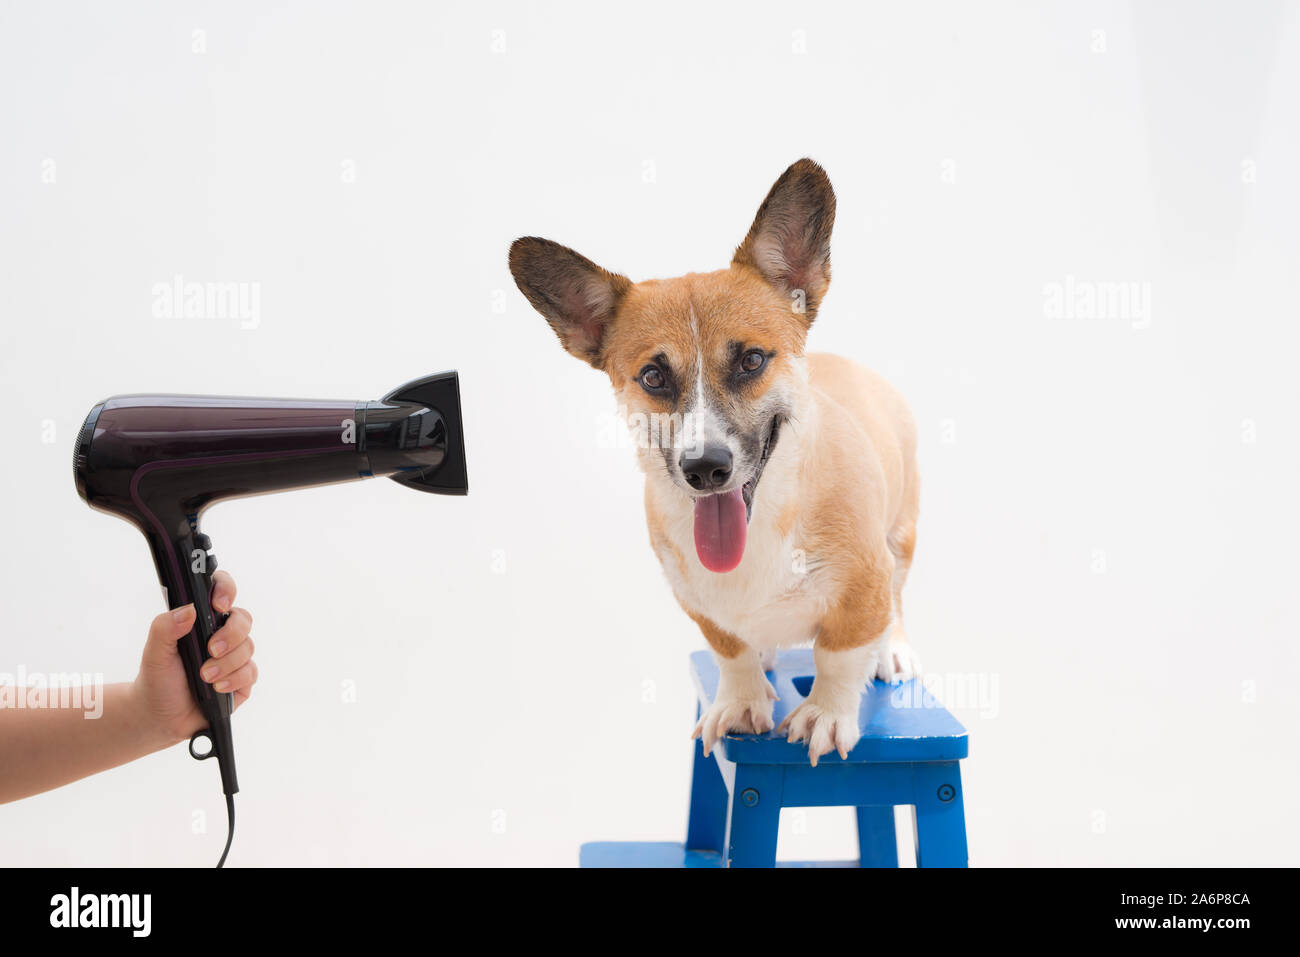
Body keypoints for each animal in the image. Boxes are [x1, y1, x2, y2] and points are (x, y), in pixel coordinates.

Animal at [506, 158, 925, 769]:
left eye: (751, 360)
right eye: (653, 376)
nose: (705, 469)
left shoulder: (865, 583)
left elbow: (839, 656)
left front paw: (825, 714)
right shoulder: (698, 603)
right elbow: (731, 651)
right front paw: (742, 702)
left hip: (902, 537)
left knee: (896, 601)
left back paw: (891, 652)